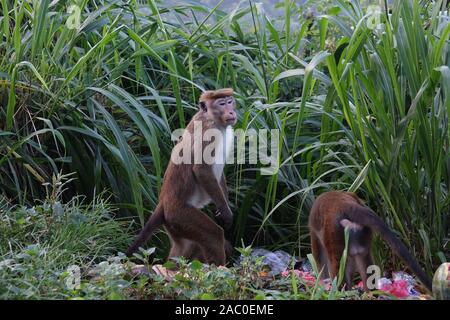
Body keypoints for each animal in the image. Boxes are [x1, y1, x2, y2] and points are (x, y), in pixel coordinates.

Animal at [125, 87, 239, 264]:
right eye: (221, 104)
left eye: (229, 101)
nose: (231, 111)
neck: (213, 119)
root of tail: (163, 202)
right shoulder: (208, 133)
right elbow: (201, 170)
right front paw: (225, 212)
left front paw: (225, 207)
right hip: (179, 214)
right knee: (212, 236)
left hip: (174, 223)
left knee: (184, 247)